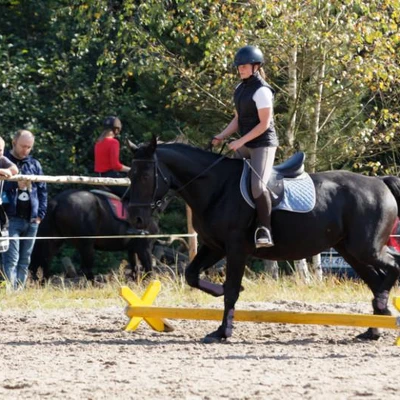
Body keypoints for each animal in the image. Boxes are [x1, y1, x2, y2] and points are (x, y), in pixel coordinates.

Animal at [127, 136, 400, 342]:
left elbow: (231, 290)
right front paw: (220, 298)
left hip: (366, 247)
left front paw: (223, 332)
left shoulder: (236, 248)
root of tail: (380, 181)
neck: (216, 187)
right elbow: (192, 275)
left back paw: (382, 305)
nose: (136, 219)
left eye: (144, 176)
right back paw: (374, 326)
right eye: (130, 175)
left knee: (393, 266)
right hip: (350, 251)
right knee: (376, 279)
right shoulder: (214, 246)